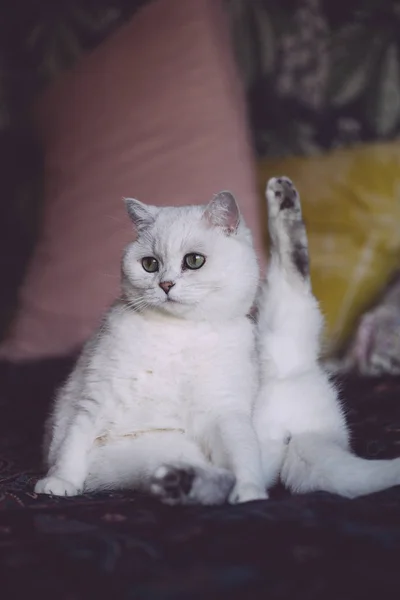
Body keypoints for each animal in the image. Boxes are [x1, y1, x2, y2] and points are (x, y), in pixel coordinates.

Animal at [34, 190, 268, 504]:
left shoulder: (226, 409)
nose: (165, 285)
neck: (178, 333)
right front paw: (60, 482)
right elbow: (74, 442)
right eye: (150, 264)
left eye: (194, 261)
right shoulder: (98, 396)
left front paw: (249, 492)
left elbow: (242, 452)